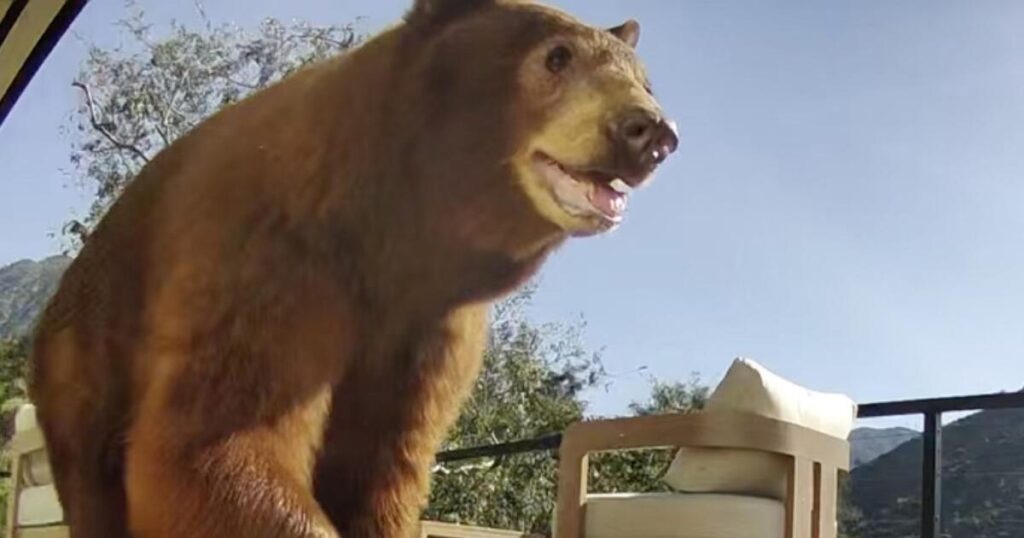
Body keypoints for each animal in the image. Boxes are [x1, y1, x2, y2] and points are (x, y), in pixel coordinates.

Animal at [27, 0, 678, 537]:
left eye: (645, 80)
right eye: (557, 56)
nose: (649, 131)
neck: (398, 238)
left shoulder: (436, 328)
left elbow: (385, 472)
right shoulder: (269, 261)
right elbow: (211, 446)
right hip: (89, 354)